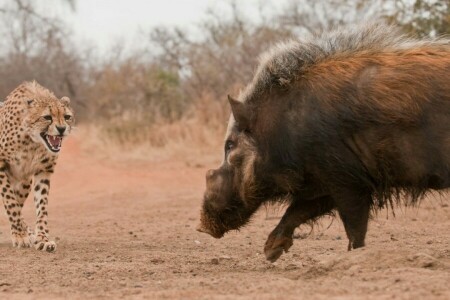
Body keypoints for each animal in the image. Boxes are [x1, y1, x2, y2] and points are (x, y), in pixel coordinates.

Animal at [0, 81, 73, 252]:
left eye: (67, 117)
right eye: (47, 117)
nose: (61, 129)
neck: (31, 141)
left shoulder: (43, 171)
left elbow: (41, 207)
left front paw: (42, 239)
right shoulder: (0, 165)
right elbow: (10, 203)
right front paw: (20, 236)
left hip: (25, 182)